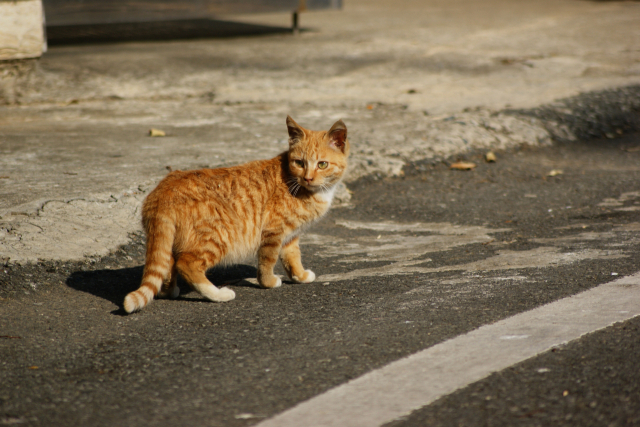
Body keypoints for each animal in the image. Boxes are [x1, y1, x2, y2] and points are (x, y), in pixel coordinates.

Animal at [122, 117, 348, 314]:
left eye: (322, 164)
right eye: (299, 163)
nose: (308, 178)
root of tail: (164, 189)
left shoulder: (290, 235)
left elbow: (292, 256)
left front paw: (299, 276)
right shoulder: (274, 232)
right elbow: (268, 260)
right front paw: (268, 282)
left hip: (172, 240)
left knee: (167, 264)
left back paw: (169, 291)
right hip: (219, 237)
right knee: (186, 264)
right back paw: (218, 294)